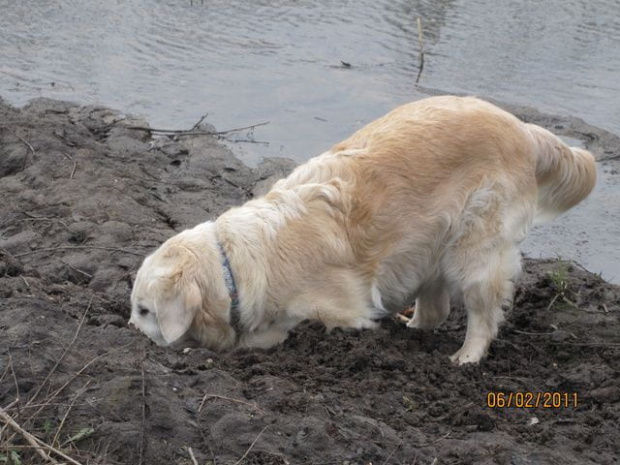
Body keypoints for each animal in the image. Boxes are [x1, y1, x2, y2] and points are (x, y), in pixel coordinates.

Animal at [130, 96, 596, 364]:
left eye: (145, 311)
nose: (129, 333)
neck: (234, 267)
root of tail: (523, 128)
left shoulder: (344, 313)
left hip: (476, 246)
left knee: (482, 311)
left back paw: (466, 356)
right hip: (428, 243)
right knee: (436, 309)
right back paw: (412, 327)